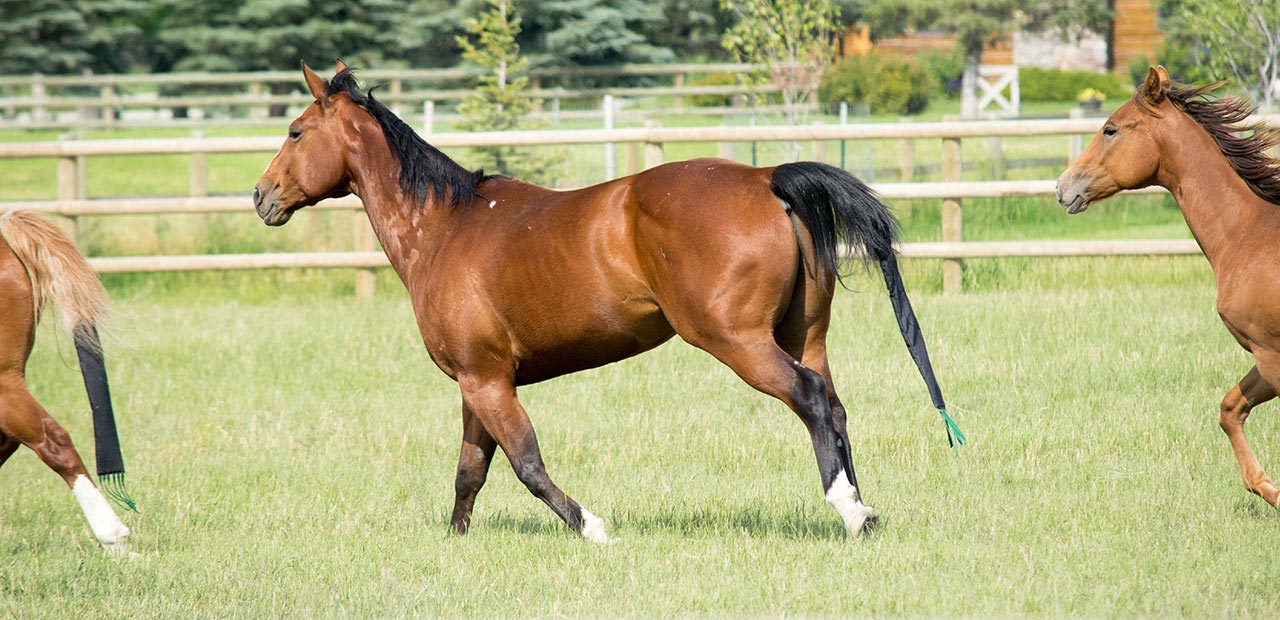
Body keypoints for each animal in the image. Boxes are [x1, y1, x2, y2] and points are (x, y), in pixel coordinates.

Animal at [254, 60, 957, 540]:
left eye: (294, 132)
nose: (261, 197)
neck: (445, 228)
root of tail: (765, 178)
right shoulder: (476, 383)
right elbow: (470, 471)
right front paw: (455, 543)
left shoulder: (487, 381)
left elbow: (526, 463)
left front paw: (592, 527)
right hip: (802, 336)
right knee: (832, 406)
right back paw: (861, 510)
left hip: (740, 342)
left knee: (810, 400)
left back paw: (847, 511)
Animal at [1059, 66, 1280, 509]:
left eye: (1110, 129)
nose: (1061, 187)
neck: (1248, 232)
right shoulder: (1264, 358)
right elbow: (1230, 410)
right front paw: (1268, 489)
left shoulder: (1272, 356)